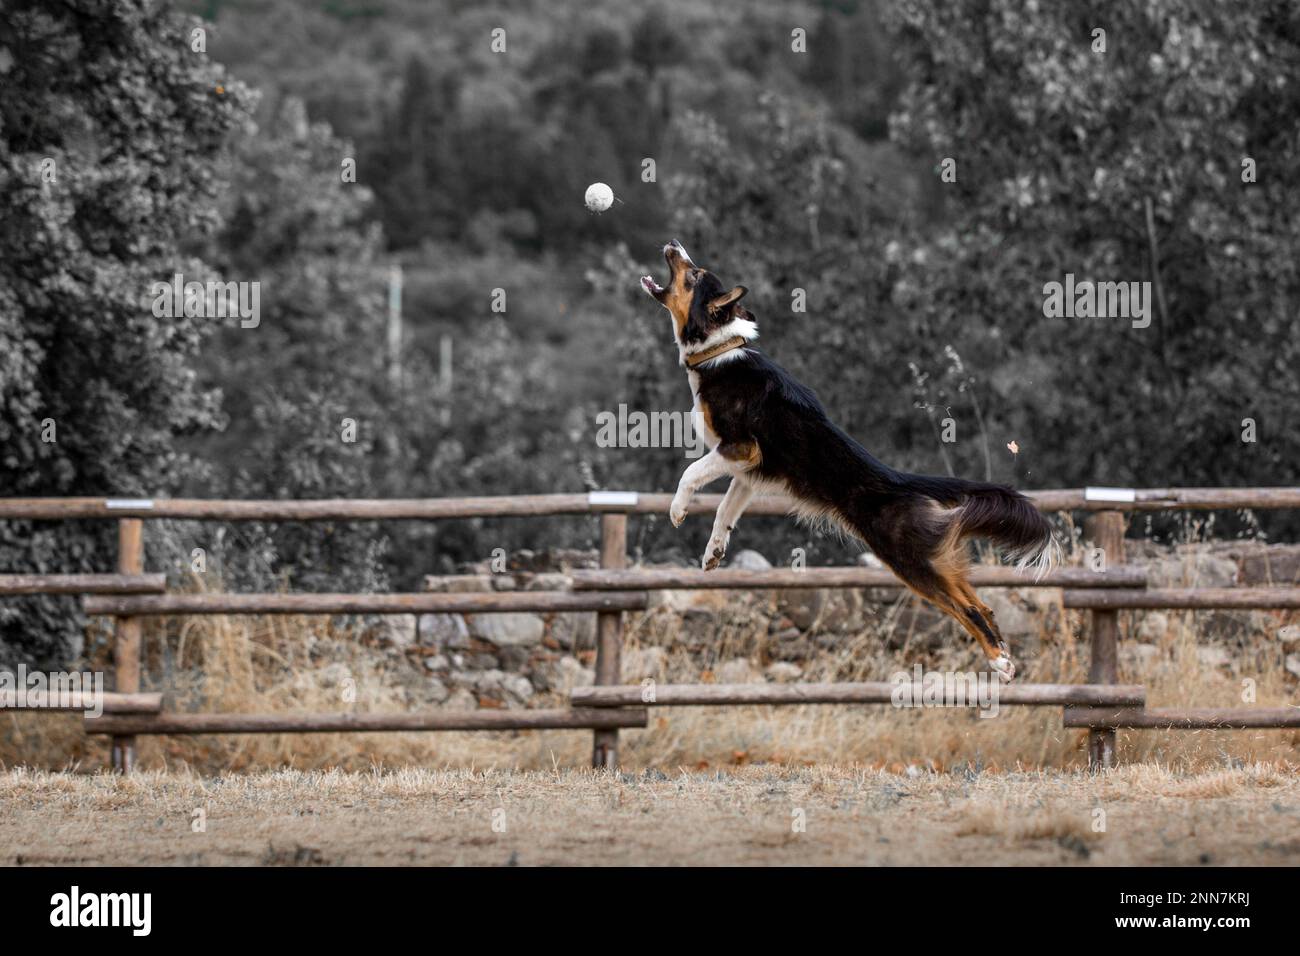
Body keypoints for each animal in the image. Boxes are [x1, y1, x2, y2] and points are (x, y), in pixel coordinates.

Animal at [639, 243, 1055, 686]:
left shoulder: (741, 449)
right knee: (981, 603)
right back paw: (1002, 654)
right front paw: (714, 552)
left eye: (694, 274)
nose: (673, 244)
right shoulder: (747, 473)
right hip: (931, 563)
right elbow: (724, 512)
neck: (721, 350)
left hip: (911, 562)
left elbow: (690, 474)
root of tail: (903, 482)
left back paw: (1000, 661)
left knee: (969, 608)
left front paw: (677, 510)